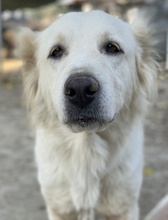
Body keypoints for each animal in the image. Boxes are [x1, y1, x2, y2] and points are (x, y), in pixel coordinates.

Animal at [17, 10, 158, 220]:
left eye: (112, 47)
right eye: (56, 51)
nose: (80, 89)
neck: (86, 151)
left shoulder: (123, 208)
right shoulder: (60, 209)